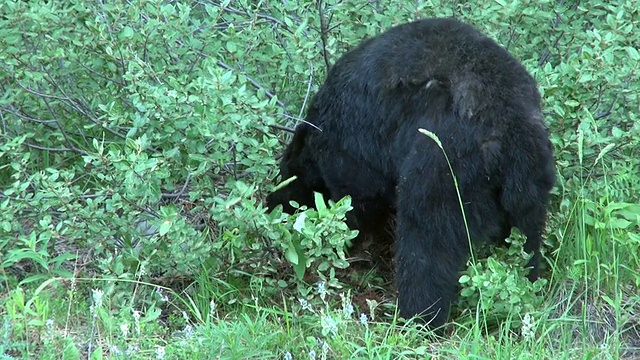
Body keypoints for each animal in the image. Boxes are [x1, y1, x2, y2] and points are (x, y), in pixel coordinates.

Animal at [266, 16, 556, 328]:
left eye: (284, 180)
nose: (269, 205)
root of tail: (506, 132)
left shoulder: (351, 148)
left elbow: (359, 200)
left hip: (442, 168)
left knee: (427, 244)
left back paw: (418, 316)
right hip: (531, 181)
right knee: (526, 236)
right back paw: (528, 281)